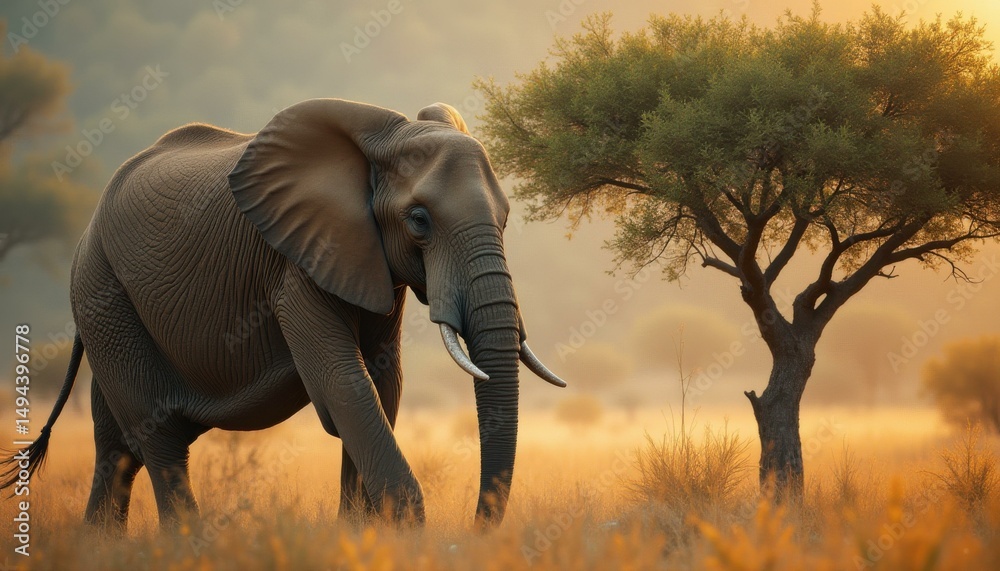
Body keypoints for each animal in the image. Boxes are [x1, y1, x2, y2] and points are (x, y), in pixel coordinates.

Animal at [0, 99, 566, 531]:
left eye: (506, 218)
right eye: (420, 220)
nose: (476, 531)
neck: (381, 140)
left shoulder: (371, 262)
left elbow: (383, 384)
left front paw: (359, 536)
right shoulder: (294, 267)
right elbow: (345, 383)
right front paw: (404, 532)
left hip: (110, 300)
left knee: (116, 447)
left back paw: (102, 546)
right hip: (102, 290)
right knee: (155, 435)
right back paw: (188, 546)